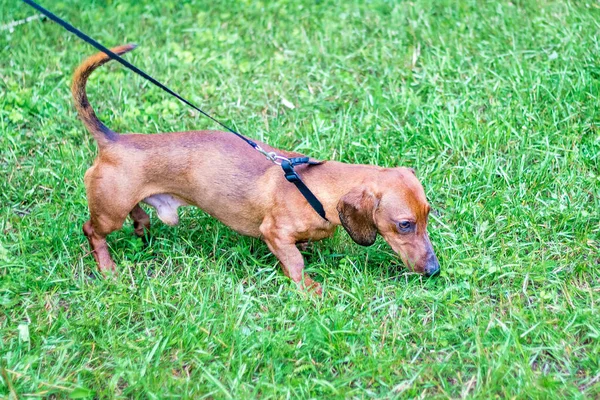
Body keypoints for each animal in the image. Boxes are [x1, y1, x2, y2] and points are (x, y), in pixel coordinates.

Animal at [75, 44, 440, 294]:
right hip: (109, 212)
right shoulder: (274, 233)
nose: (435, 270)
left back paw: (142, 229)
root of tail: (114, 140)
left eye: (428, 214)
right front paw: (310, 289)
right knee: (92, 230)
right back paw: (107, 268)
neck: (316, 188)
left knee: (137, 215)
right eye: (404, 225)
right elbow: (295, 262)